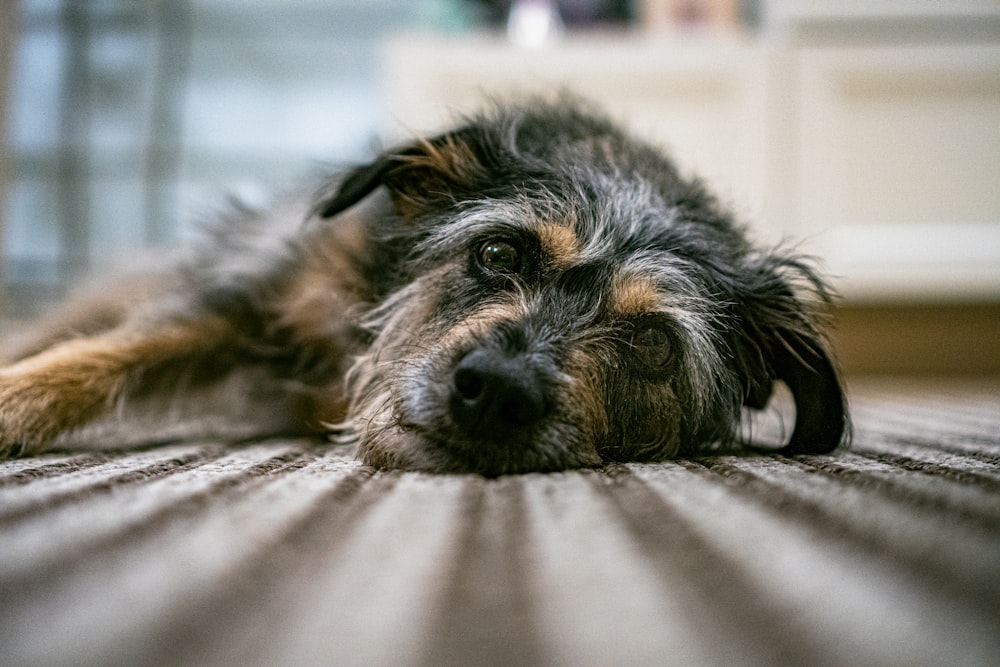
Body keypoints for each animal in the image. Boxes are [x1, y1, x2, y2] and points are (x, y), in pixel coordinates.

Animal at [0, 98, 848, 474]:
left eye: (651, 342)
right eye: (499, 251)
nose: (498, 388)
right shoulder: (253, 292)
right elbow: (107, 356)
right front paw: (16, 395)